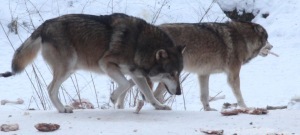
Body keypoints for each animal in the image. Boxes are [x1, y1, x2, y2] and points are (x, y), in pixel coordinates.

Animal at [0, 13, 185, 113]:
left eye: (179, 73)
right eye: (172, 74)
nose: (179, 93)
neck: (140, 45)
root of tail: (45, 25)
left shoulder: (137, 75)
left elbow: (149, 95)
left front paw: (160, 106)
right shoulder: (107, 64)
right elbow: (125, 85)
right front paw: (113, 98)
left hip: (70, 69)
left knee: (50, 87)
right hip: (68, 67)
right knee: (50, 88)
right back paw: (63, 109)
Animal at [116, 20, 274, 110]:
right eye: (267, 39)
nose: (272, 46)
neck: (243, 38)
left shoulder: (203, 74)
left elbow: (205, 96)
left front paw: (208, 110)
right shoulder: (233, 75)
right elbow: (239, 96)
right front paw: (246, 108)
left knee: (134, 84)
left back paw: (120, 105)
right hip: (161, 77)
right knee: (151, 92)